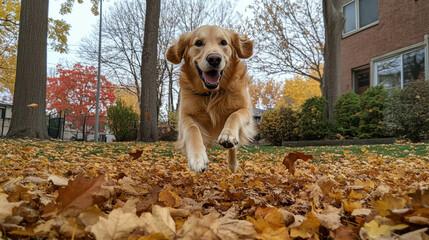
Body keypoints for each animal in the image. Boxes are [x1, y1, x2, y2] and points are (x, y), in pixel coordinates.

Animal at [166, 25, 256, 172]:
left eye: (224, 42)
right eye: (198, 43)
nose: (214, 58)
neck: (212, 93)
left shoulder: (245, 109)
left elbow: (235, 115)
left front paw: (228, 135)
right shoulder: (185, 116)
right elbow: (192, 128)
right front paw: (197, 158)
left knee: (233, 148)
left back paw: (232, 164)